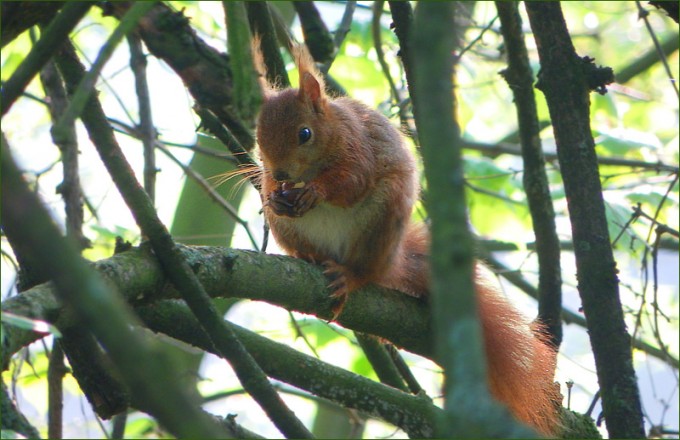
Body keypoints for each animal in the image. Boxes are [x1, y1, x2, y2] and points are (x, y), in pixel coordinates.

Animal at [252, 43, 560, 436]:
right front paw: (276, 196)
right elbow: (274, 192)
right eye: (258, 136)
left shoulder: (360, 149)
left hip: (380, 222)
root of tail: (390, 262)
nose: (278, 174)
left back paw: (348, 275)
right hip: (287, 231)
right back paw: (307, 256)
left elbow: (351, 182)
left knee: (365, 271)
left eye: (304, 134)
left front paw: (316, 191)